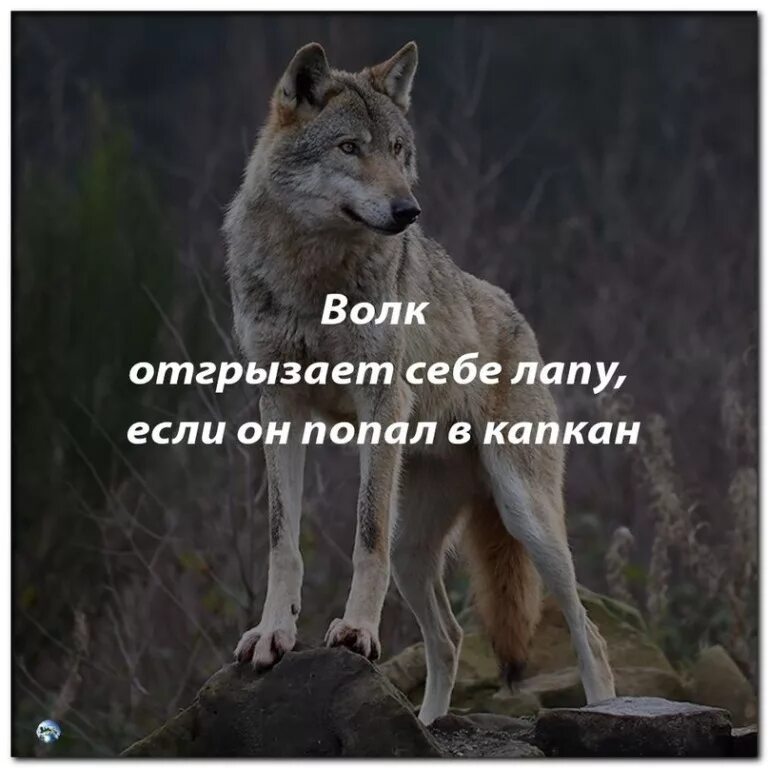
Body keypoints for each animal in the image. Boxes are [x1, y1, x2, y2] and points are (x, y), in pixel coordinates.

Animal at [224, 41, 615, 724]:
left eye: (398, 149)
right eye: (350, 147)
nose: (409, 211)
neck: (312, 273)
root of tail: (518, 317)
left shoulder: (381, 401)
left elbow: (364, 539)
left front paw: (355, 632)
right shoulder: (279, 404)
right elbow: (282, 542)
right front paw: (273, 634)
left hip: (526, 517)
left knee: (587, 632)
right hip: (416, 549)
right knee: (451, 638)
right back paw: (429, 725)